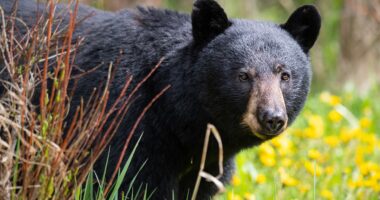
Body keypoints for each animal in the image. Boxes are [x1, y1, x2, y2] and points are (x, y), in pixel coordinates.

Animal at [0, 0, 320, 198]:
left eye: (285, 75)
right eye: (243, 75)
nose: (272, 117)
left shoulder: (207, 163)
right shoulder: (125, 124)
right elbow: (132, 182)